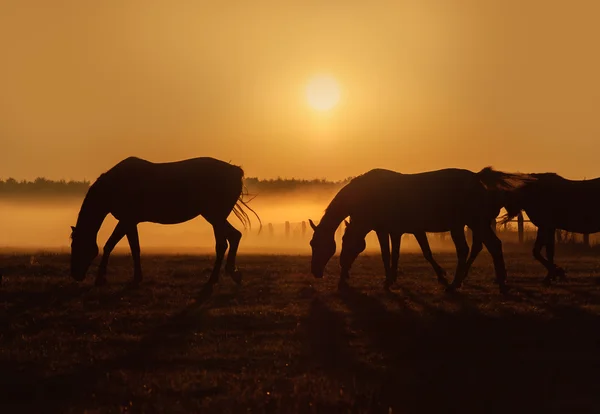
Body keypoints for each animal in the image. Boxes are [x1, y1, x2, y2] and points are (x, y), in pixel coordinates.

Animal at [69, 157, 258, 286]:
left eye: (76, 246)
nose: (75, 275)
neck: (114, 185)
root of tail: (235, 171)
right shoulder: (130, 222)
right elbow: (134, 248)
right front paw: (137, 278)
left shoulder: (126, 220)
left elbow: (110, 245)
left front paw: (101, 278)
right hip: (216, 217)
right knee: (234, 237)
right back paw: (233, 273)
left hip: (215, 217)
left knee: (222, 244)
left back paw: (213, 280)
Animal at [312, 167, 528, 292]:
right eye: (312, 244)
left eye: (317, 245)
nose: (316, 272)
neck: (369, 195)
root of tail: (478, 179)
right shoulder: (395, 231)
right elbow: (394, 254)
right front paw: (392, 279)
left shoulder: (387, 230)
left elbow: (391, 254)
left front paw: (389, 281)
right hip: (474, 224)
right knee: (490, 246)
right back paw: (494, 280)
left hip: (469, 224)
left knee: (475, 248)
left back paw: (460, 283)